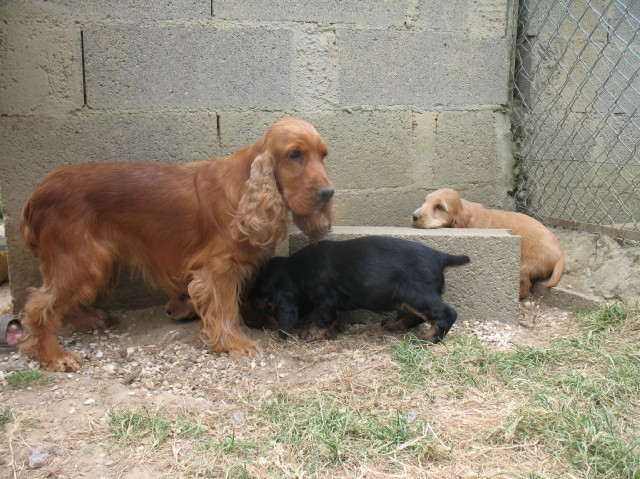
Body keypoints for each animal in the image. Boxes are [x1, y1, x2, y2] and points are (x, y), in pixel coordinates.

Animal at [250, 235, 470, 342]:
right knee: (414, 316)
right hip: (404, 298)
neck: (297, 269)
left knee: (447, 313)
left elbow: (322, 318)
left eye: (258, 289)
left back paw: (429, 339)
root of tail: (440, 257)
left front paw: (312, 333)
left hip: (418, 296)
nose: (247, 298)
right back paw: (394, 325)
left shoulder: (325, 299)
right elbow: (333, 318)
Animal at [412, 188, 564, 298]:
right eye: (424, 201)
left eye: (439, 207)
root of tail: (560, 254)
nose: (414, 216)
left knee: (525, 287)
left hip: (522, 265)